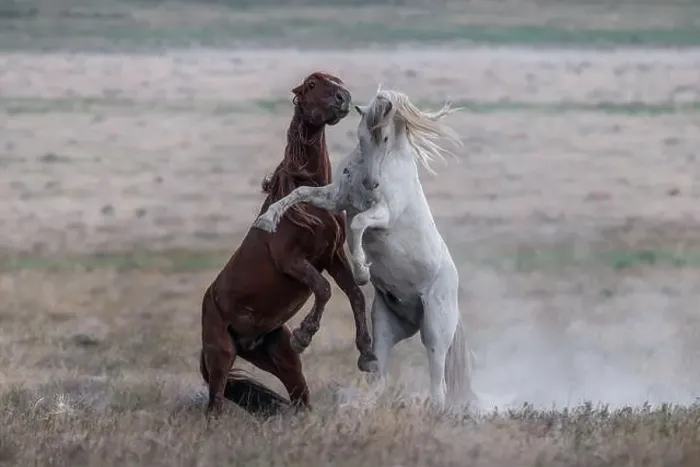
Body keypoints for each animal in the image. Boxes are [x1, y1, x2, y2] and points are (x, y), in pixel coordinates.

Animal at [200, 72, 379, 419]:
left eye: (338, 81)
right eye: (311, 85)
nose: (343, 98)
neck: (308, 200)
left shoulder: (332, 256)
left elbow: (354, 294)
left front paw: (367, 355)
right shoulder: (292, 260)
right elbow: (324, 288)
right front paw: (304, 335)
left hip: (282, 360)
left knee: (299, 397)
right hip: (221, 354)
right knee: (215, 402)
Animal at [252, 87, 478, 407]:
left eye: (384, 137)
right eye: (360, 136)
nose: (371, 183)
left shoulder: (383, 213)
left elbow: (358, 224)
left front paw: (361, 271)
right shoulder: (336, 197)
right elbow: (301, 192)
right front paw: (267, 219)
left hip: (435, 330)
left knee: (438, 386)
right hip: (385, 327)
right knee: (380, 377)